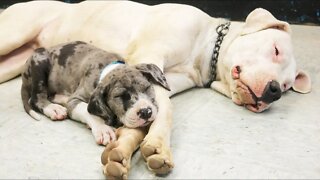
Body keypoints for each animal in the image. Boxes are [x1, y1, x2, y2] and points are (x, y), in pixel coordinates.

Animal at [0, 1, 310, 179]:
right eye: (275, 49)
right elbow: (165, 112)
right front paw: (158, 146)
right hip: (12, 35)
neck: (205, 48)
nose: (274, 91)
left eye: (286, 86)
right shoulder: (148, 56)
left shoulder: (160, 81)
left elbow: (147, 116)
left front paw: (124, 148)